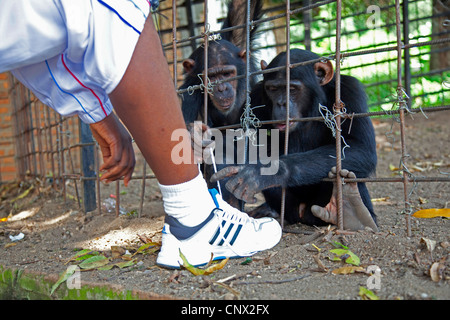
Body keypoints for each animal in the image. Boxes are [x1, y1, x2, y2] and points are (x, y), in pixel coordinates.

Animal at [211, 48, 376, 230]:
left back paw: (351, 210)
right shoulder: (256, 96)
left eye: (292, 88)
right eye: (273, 89)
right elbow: (232, 142)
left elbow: (359, 147)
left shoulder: (350, 90)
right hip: (290, 207)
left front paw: (263, 172)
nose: (281, 103)